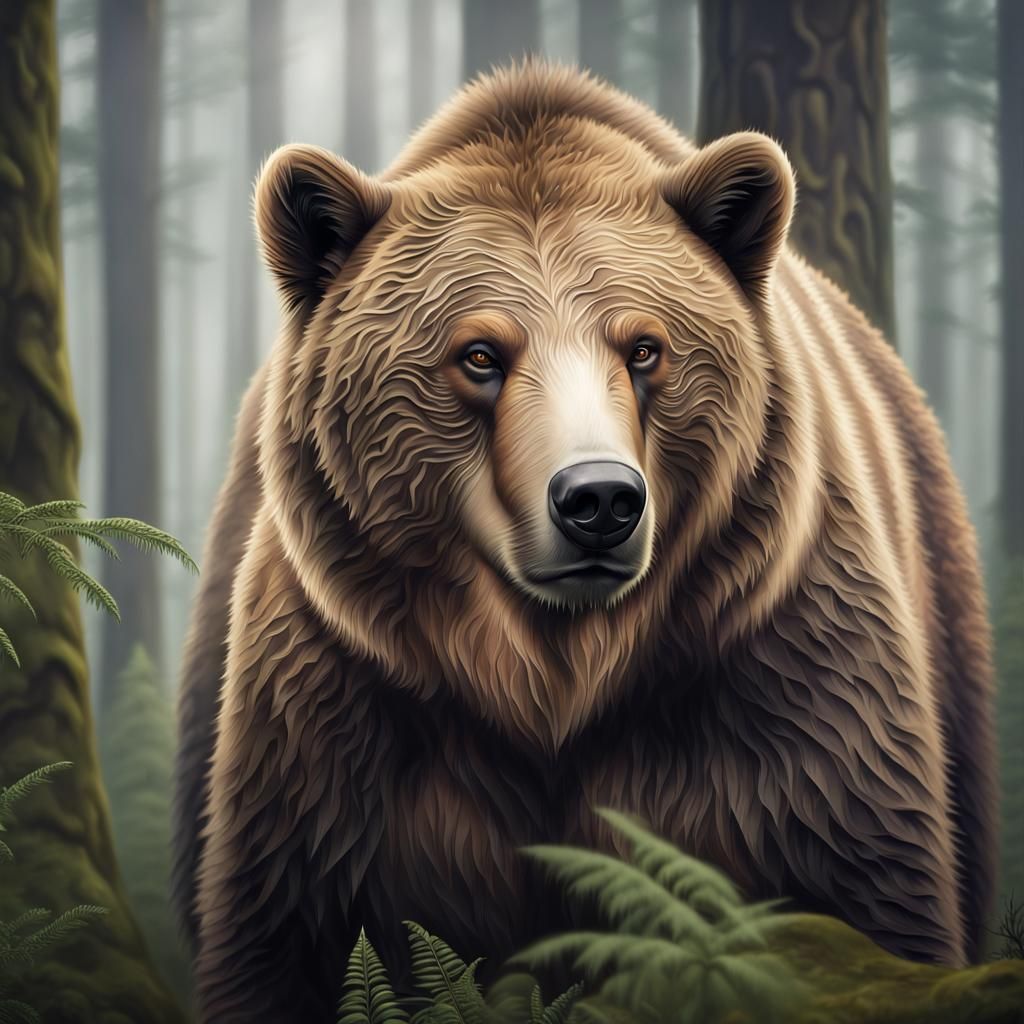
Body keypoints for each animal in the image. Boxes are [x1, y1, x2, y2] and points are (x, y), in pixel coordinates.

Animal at [172, 62, 998, 1023]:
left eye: (644, 348)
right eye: (480, 354)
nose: (599, 499)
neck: (554, 673)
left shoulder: (775, 671)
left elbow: (868, 881)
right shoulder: (340, 706)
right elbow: (283, 930)